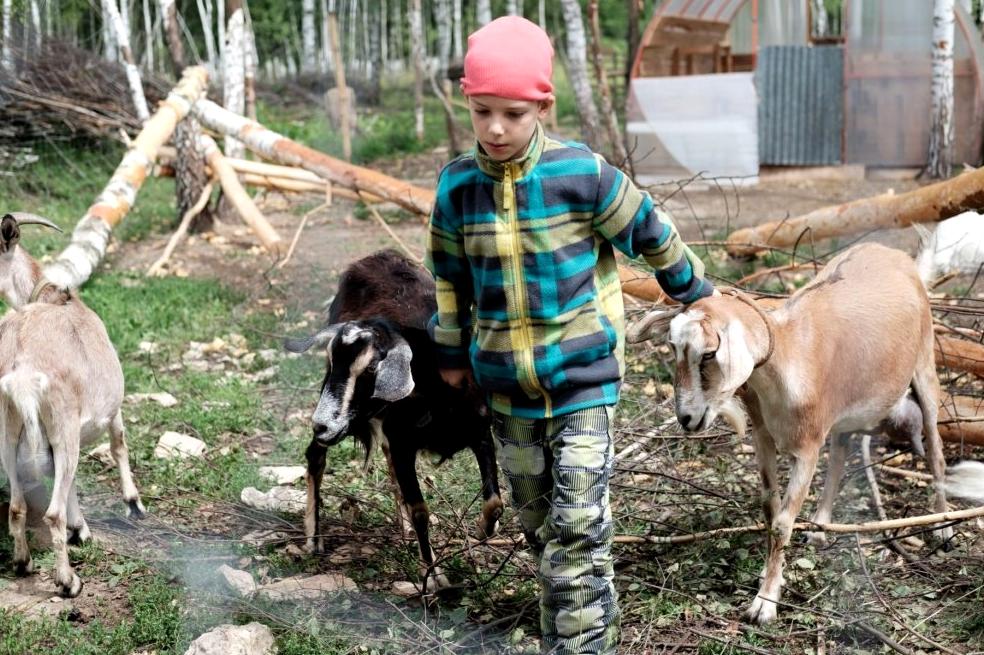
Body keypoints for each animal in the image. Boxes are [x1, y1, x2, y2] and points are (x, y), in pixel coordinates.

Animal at [0, 213, 144, 596]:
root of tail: (22, 371)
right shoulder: (110, 408)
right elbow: (119, 443)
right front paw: (133, 503)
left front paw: (82, 529)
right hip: (61, 423)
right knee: (52, 513)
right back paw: (68, 582)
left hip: (9, 429)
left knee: (17, 506)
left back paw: (23, 563)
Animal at [636, 245, 948, 624]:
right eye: (672, 347)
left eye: (709, 353)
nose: (686, 418)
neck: (788, 353)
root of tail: (897, 255)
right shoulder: (763, 436)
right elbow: (770, 508)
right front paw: (770, 575)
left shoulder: (806, 449)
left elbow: (783, 523)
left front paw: (764, 603)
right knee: (840, 453)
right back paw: (820, 526)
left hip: (925, 364)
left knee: (936, 449)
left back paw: (944, 526)